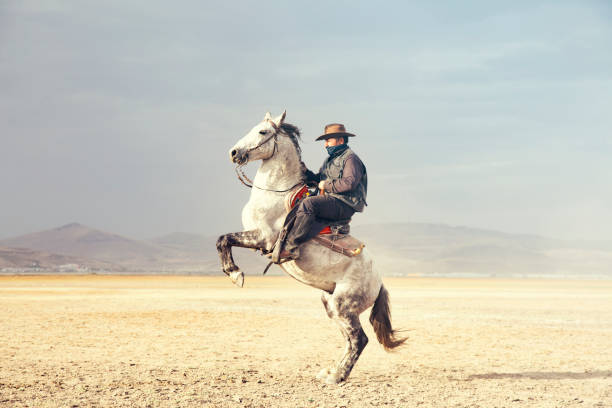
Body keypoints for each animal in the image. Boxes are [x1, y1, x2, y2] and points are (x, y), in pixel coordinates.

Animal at [215, 111, 406, 382]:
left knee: (359, 339)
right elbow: (223, 239)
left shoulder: (262, 237)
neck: (274, 193)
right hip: (331, 305)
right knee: (349, 340)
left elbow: (224, 239)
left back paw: (337, 377)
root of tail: (378, 284)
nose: (234, 153)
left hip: (344, 306)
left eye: (263, 132)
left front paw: (235, 274)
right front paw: (234, 273)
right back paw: (331, 371)